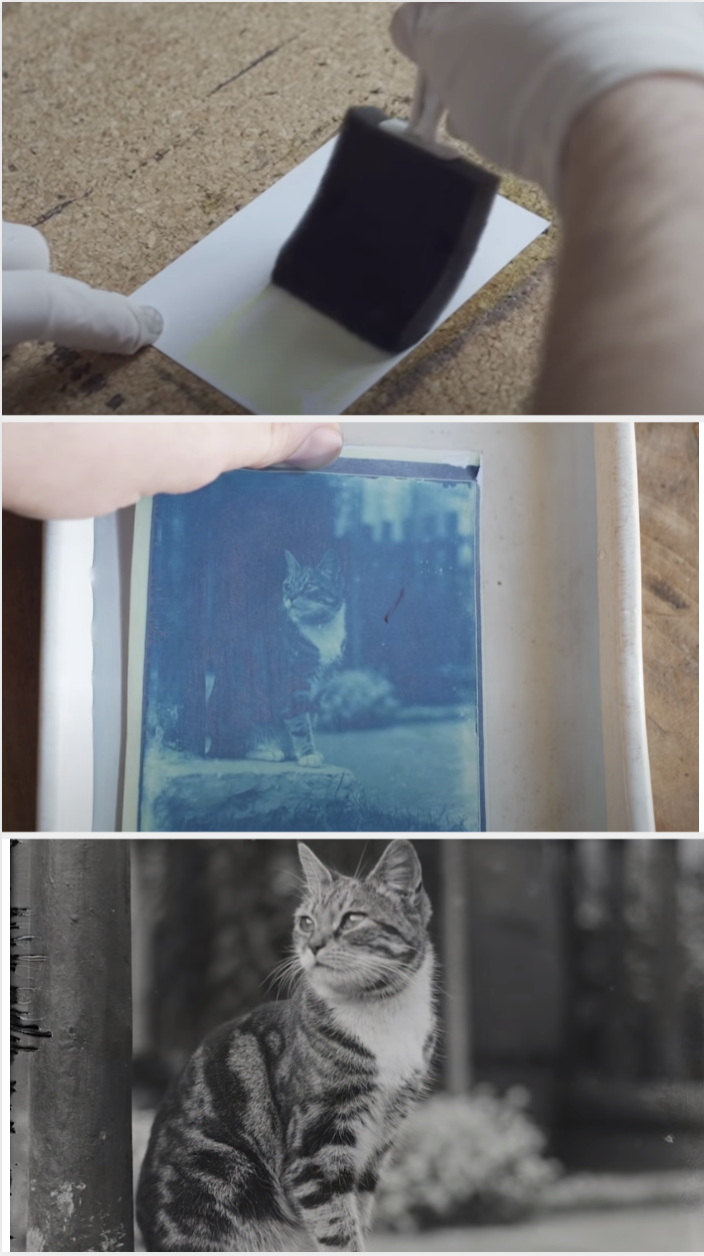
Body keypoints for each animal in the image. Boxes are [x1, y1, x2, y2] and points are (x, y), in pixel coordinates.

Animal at [136, 839, 434, 1250]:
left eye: (352, 919)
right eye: (306, 922)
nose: (313, 945)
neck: (380, 1012)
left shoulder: (378, 1144)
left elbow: (357, 1214)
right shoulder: (316, 1147)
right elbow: (338, 1228)